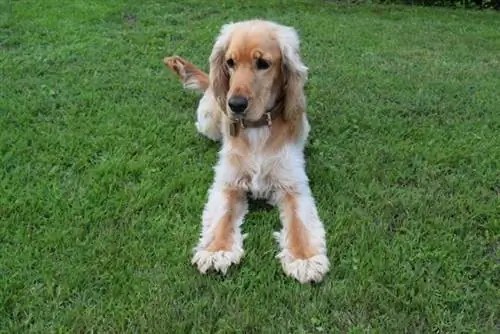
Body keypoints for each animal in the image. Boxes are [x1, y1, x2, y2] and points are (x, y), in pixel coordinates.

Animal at [163, 19, 328, 284]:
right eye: (230, 62)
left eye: (263, 64)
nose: (235, 105)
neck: (257, 128)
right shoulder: (228, 182)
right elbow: (223, 215)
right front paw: (216, 250)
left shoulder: (293, 184)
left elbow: (299, 222)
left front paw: (304, 258)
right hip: (208, 121)